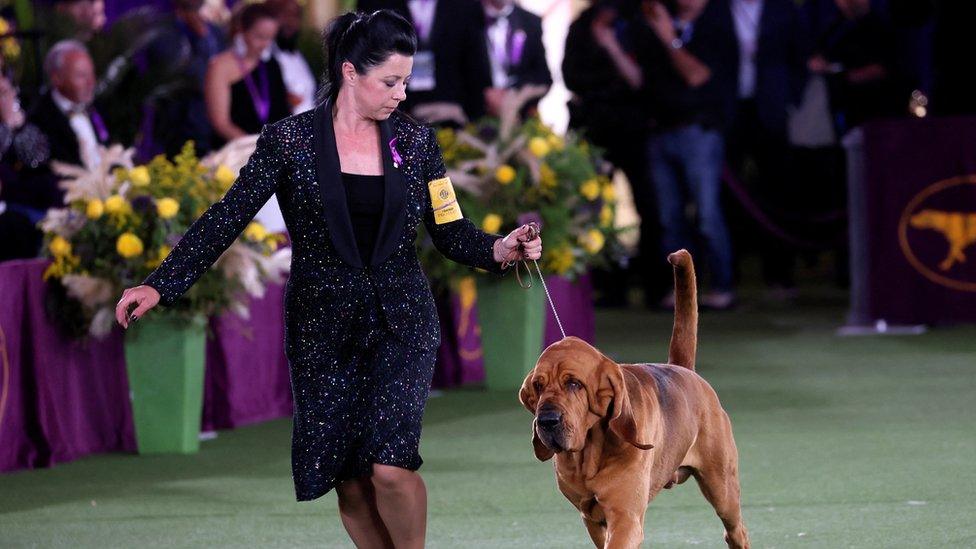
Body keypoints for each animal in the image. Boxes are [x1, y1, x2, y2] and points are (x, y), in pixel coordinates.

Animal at [524, 250, 752, 544]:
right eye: (538, 386)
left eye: (574, 384)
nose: (547, 420)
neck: (590, 449)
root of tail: (685, 370)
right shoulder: (593, 519)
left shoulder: (625, 518)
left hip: (723, 488)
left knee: (735, 529)